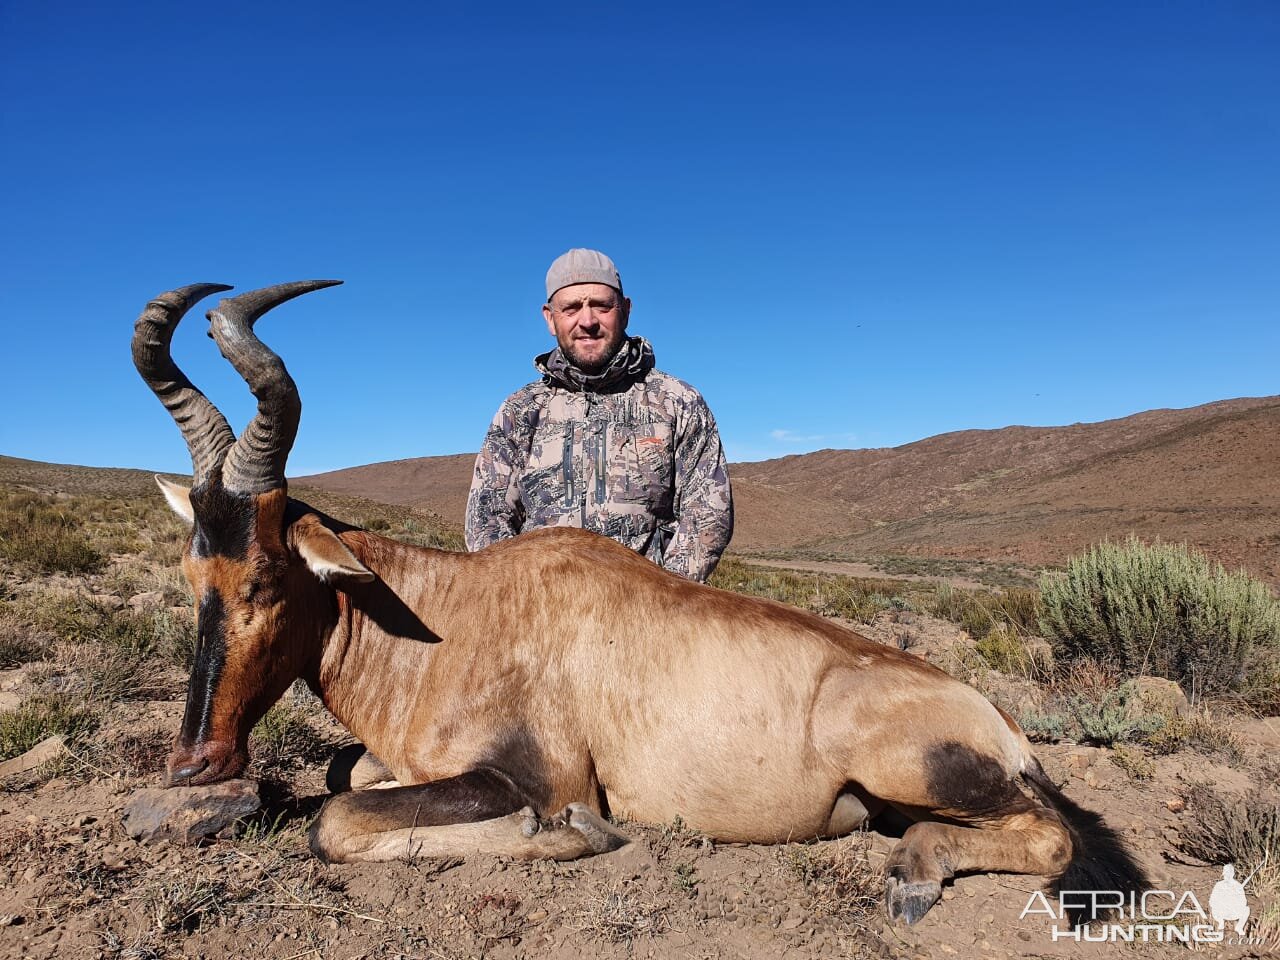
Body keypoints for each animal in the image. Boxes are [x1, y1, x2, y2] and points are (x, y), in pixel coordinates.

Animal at [135, 281, 1146, 926]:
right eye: (193, 575)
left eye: (267, 578)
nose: (195, 763)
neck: (455, 615)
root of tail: (998, 720)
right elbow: (349, 777)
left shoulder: (529, 774)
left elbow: (336, 822)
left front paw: (573, 835)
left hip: (917, 766)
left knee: (1055, 837)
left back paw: (912, 874)